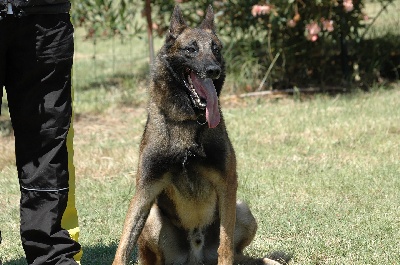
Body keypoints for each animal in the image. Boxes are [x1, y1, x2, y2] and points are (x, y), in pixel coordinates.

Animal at [112, 5, 288, 264]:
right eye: (191, 49)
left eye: (216, 49)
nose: (213, 70)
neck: (188, 121)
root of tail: (195, 253)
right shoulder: (145, 190)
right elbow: (123, 246)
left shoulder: (227, 184)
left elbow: (225, 247)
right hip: (153, 217)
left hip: (241, 207)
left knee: (237, 254)